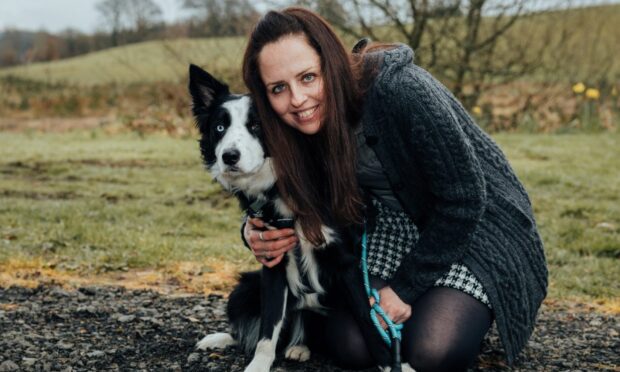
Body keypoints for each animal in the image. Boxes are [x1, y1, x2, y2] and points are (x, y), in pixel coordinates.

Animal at [186, 65, 404, 370]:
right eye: (219, 128)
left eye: (256, 126)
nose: (228, 157)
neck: (281, 186)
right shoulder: (272, 261)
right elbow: (268, 328)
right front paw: (258, 364)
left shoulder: (347, 263)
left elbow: (368, 320)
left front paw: (393, 364)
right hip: (245, 287)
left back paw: (299, 346)